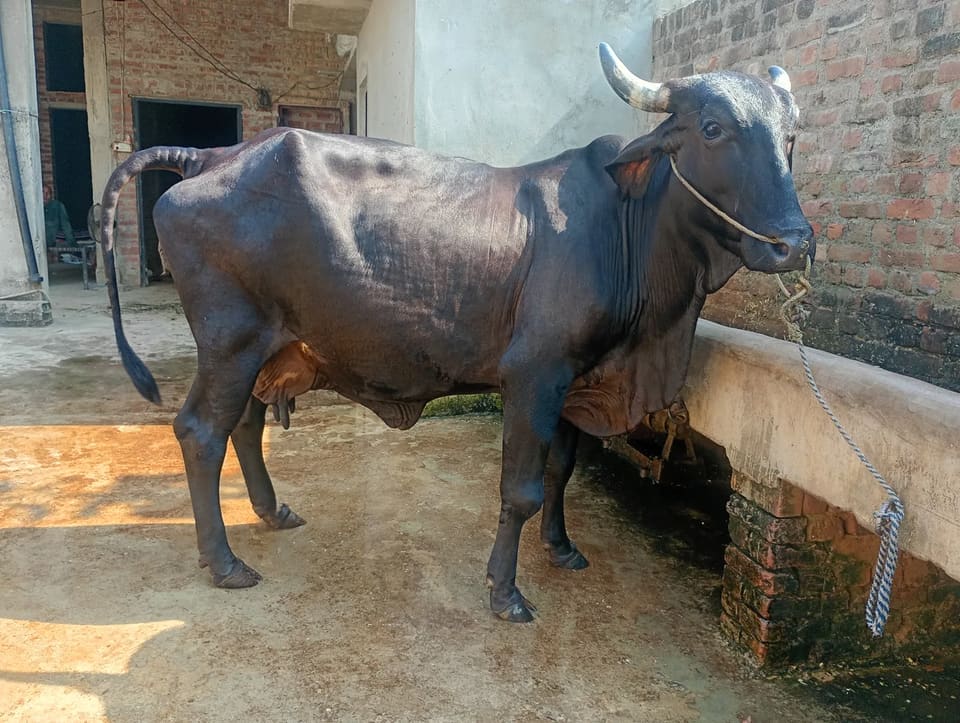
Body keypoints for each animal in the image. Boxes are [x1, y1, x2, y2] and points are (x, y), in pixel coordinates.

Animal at [99, 44, 814, 622]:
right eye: (713, 128)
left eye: (791, 135)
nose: (794, 243)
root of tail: (213, 155)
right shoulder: (535, 374)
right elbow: (522, 489)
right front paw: (506, 592)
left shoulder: (578, 378)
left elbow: (562, 472)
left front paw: (561, 548)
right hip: (230, 342)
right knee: (201, 432)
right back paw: (224, 563)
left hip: (265, 348)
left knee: (244, 426)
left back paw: (273, 513)